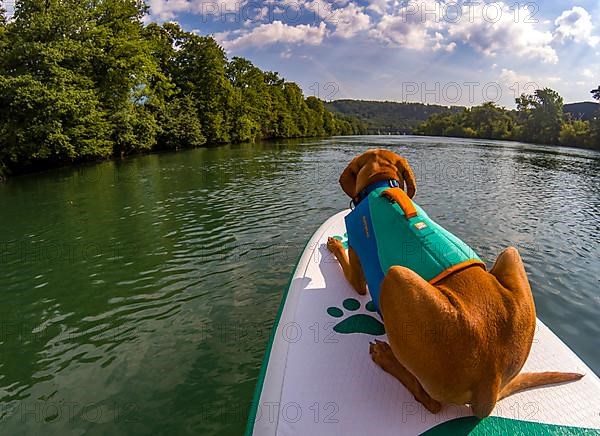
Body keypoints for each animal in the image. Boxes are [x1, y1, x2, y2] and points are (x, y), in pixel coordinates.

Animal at [326, 148, 584, 418]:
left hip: (396, 279)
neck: (380, 184)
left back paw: (385, 357)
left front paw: (334, 244)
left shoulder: (357, 267)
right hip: (511, 255)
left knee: (430, 402)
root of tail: (490, 379)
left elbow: (349, 270)